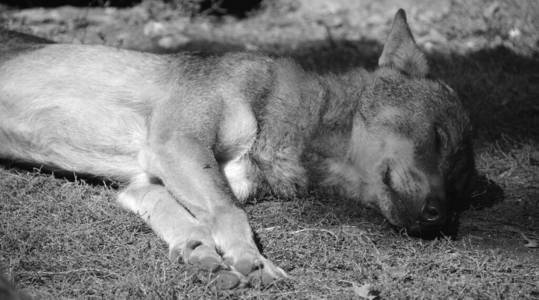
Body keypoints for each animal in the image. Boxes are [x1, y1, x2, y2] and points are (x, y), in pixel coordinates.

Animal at [0, 9, 472, 288]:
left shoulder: (144, 182)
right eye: (438, 139)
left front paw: (198, 250)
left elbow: (189, 218)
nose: (441, 218)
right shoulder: (176, 145)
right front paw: (252, 259)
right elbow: (231, 212)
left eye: (458, 179)